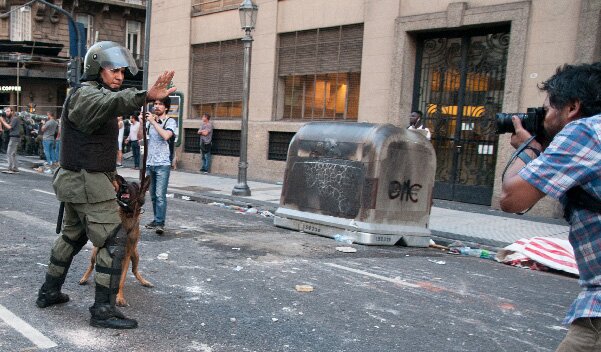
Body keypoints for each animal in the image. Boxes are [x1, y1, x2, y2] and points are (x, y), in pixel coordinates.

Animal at [78, 175, 154, 306]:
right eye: (124, 182)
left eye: (135, 185)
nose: (123, 186)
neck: (128, 215)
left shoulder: (127, 254)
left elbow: (121, 279)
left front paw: (119, 297)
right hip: (95, 251)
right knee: (91, 265)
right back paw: (84, 278)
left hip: (135, 255)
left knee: (134, 270)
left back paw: (144, 281)